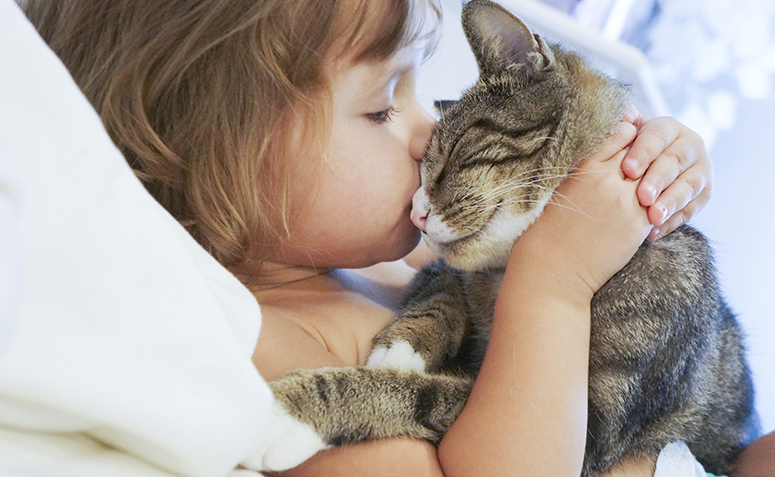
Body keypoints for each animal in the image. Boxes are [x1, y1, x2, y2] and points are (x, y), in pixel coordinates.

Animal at [244, 1, 756, 474]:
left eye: (452, 151)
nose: (415, 211)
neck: (506, 273)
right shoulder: (441, 269)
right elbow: (445, 291)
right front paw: (406, 345)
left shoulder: (592, 426)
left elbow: (419, 394)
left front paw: (292, 410)